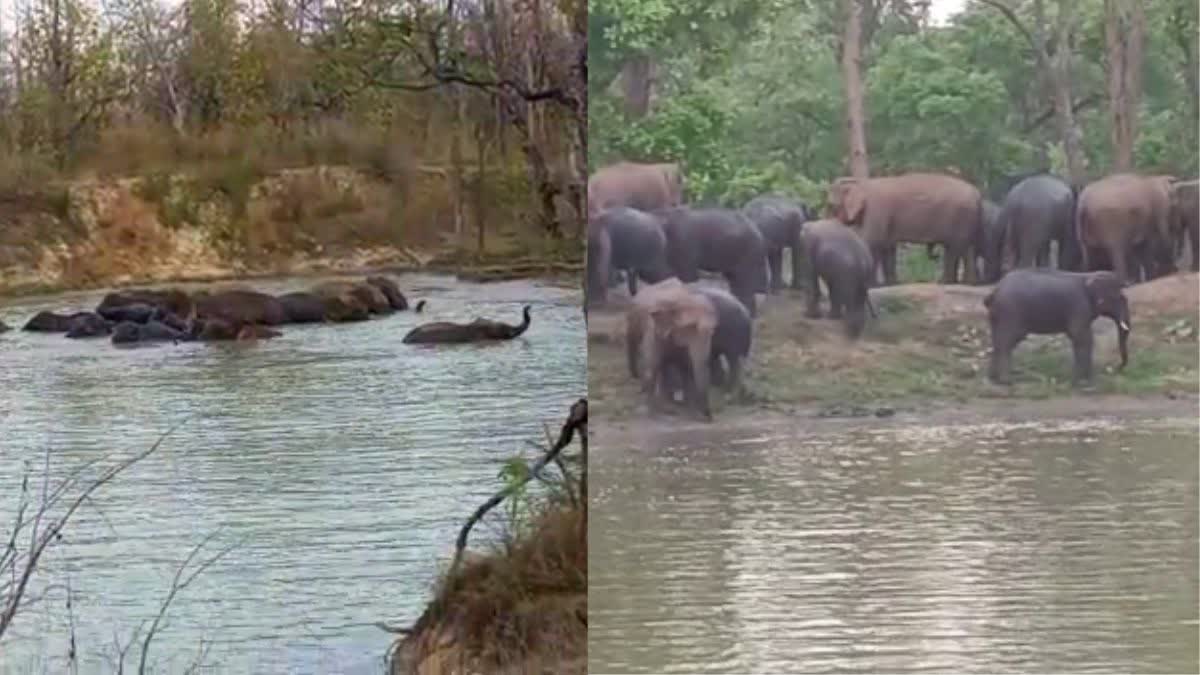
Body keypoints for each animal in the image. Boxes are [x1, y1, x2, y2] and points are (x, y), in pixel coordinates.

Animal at [624, 276, 715, 417]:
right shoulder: (654, 329)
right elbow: (652, 363)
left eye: (713, 331)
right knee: (633, 342)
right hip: (633, 319)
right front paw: (648, 410)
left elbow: (686, 367)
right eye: (691, 327)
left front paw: (688, 409)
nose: (709, 416)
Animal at [825, 170, 984, 283]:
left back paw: (944, 282)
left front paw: (872, 286)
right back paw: (969, 283)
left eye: (831, 205)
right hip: (968, 219)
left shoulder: (877, 210)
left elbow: (873, 241)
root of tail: (977, 193)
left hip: (960, 216)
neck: (862, 183)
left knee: (953, 248)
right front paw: (891, 284)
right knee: (967, 248)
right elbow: (888, 247)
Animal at [979, 266, 1128, 384]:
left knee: (998, 341)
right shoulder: (1078, 306)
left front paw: (1081, 380)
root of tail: (994, 291)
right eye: (1120, 298)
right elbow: (1082, 337)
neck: (1088, 275)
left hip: (998, 316)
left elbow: (1080, 338)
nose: (1117, 368)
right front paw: (1084, 381)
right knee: (1006, 342)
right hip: (1010, 313)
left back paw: (993, 379)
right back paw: (1007, 381)